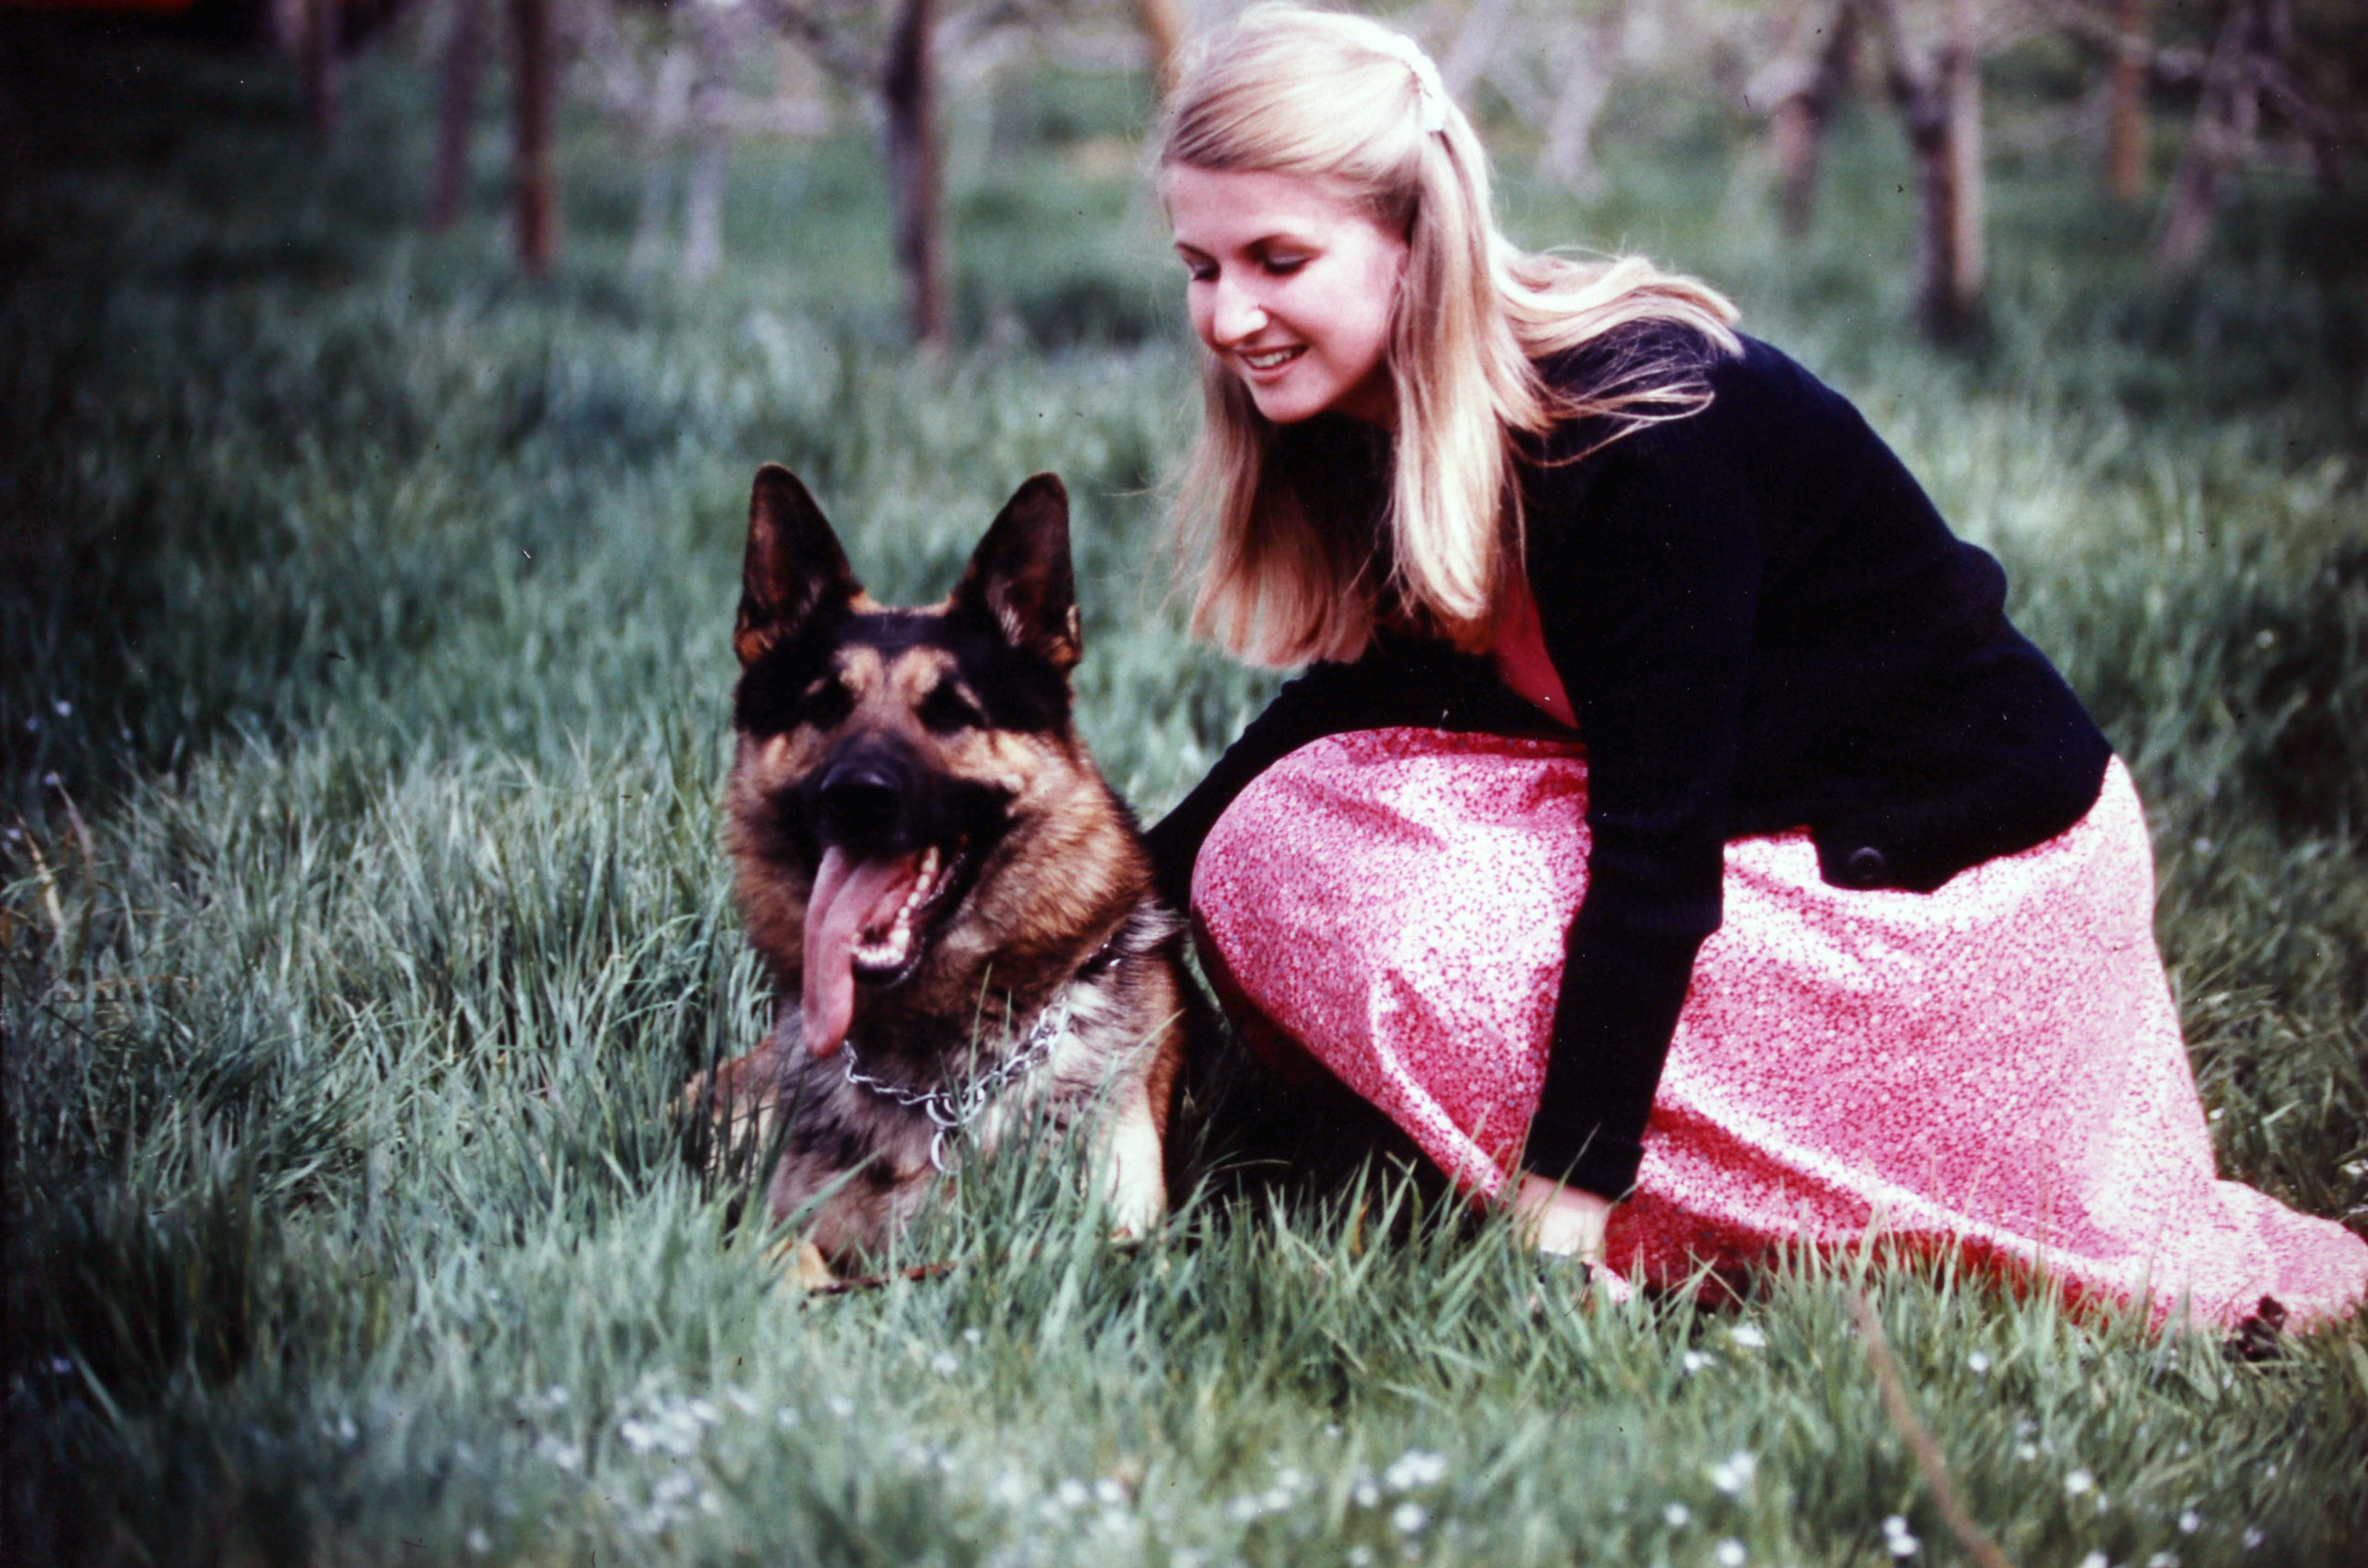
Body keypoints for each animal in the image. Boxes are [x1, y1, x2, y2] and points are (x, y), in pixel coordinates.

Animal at [693, 465, 1189, 1286]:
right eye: (823, 705)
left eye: (952, 712)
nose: (857, 795)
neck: (934, 1073)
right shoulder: (787, 1226)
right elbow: (791, 1256)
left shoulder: (1120, 1238)